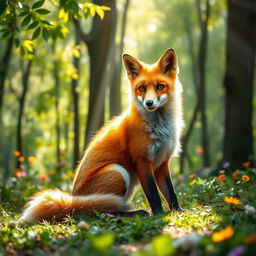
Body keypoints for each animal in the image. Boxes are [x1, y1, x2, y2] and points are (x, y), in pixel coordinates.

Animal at [20, 48, 184, 222]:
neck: (160, 127)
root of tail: (74, 201)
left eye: (160, 86)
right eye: (141, 88)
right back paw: (133, 213)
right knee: (105, 212)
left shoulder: (162, 162)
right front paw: (159, 214)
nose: (149, 103)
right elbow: (153, 195)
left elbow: (170, 192)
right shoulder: (143, 160)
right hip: (118, 171)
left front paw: (178, 211)